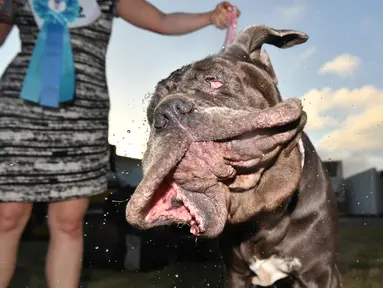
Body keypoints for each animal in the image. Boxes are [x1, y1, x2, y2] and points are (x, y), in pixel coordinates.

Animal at [125, 25, 342, 288]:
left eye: (215, 81)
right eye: (150, 113)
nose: (166, 112)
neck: (261, 212)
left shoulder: (320, 274)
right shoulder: (236, 275)